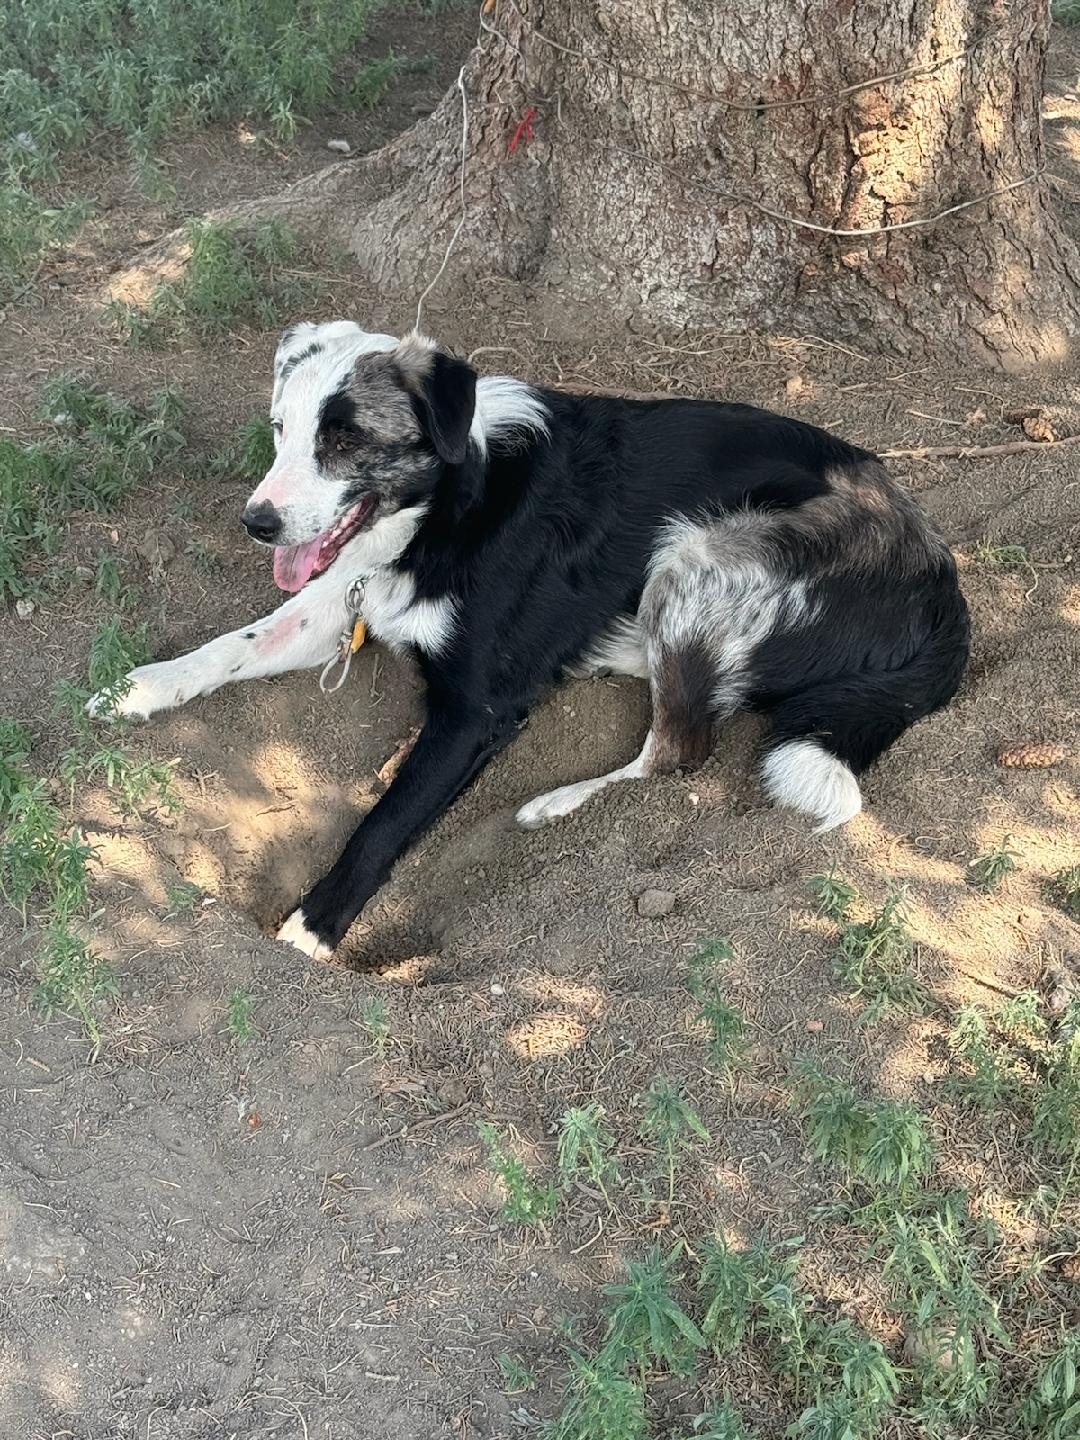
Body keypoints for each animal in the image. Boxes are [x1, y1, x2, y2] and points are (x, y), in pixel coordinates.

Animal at [91, 324, 973, 956]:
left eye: (344, 440)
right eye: (280, 428)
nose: (257, 522)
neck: (453, 497)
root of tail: (941, 577)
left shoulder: (476, 712)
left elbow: (385, 821)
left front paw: (314, 928)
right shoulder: (345, 600)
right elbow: (235, 643)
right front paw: (139, 686)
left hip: (699, 554)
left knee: (681, 748)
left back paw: (555, 803)